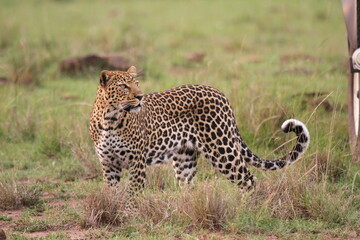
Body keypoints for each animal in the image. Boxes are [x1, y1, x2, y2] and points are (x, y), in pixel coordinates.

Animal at [89, 65, 310, 195]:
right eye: (124, 86)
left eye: (136, 84)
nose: (140, 96)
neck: (110, 120)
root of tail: (219, 93)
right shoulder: (108, 163)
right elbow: (112, 193)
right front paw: (115, 214)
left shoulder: (137, 161)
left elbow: (133, 194)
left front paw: (130, 215)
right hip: (185, 157)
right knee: (189, 186)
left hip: (222, 149)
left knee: (249, 180)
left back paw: (248, 211)